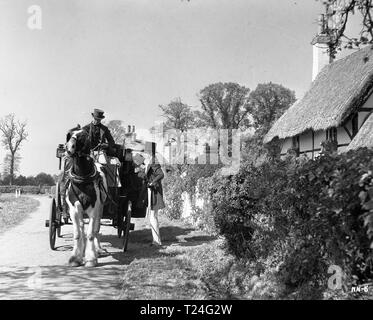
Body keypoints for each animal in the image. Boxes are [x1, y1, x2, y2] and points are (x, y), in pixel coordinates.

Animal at [64, 129, 107, 266]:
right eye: (70, 134)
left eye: (83, 136)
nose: (69, 147)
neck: (82, 179)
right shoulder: (73, 209)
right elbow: (78, 233)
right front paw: (75, 257)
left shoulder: (93, 209)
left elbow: (91, 234)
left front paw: (91, 258)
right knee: (82, 227)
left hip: (100, 208)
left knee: (96, 229)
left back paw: (98, 249)